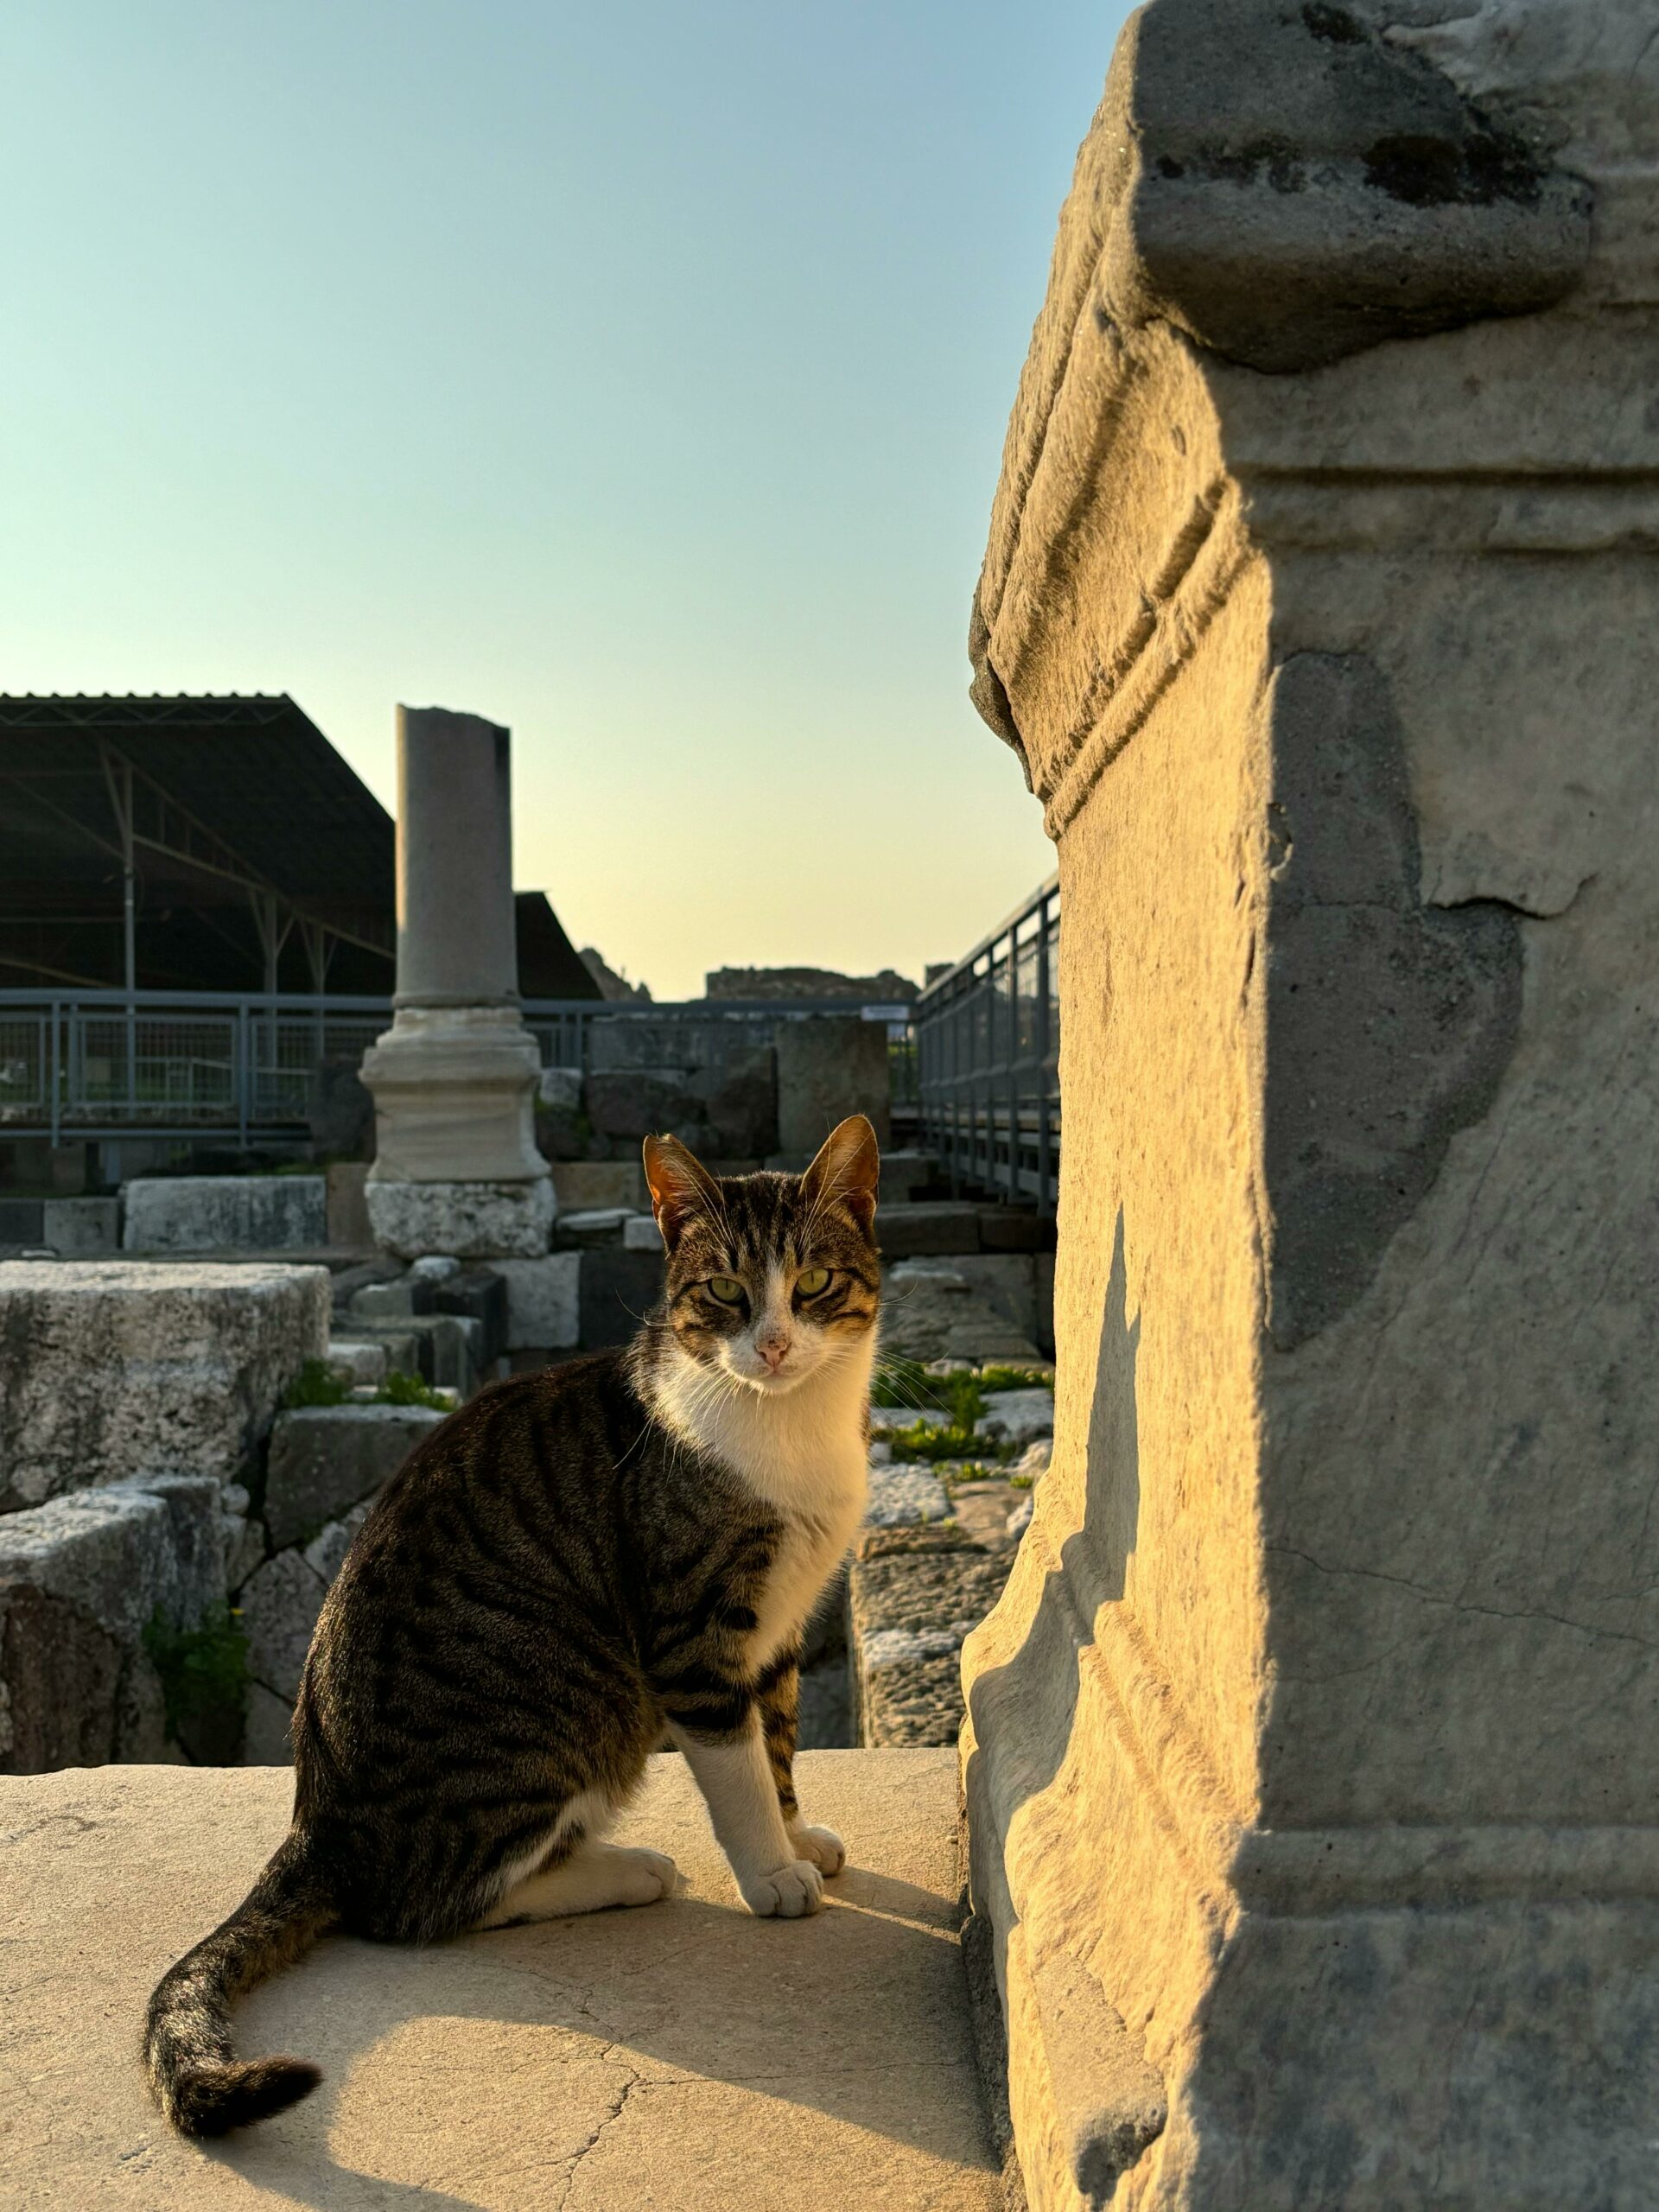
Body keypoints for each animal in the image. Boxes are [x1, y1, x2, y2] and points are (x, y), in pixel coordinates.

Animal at [149, 1115, 889, 2132]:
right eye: (725, 1292)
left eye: (811, 1282)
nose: (773, 1345)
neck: (786, 1430)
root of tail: (316, 1824)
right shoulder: (694, 1635)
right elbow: (737, 1762)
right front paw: (772, 1874)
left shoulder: (775, 1631)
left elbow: (776, 1744)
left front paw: (797, 1834)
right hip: (568, 1707)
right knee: (419, 1905)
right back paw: (628, 1869)